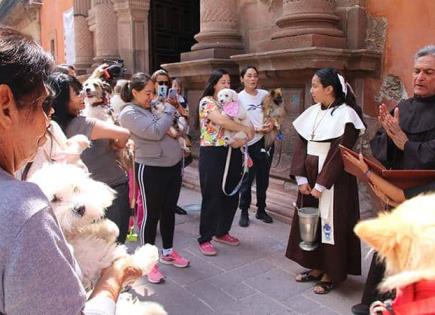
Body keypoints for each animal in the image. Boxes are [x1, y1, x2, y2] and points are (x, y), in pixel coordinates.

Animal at [28, 164, 166, 314]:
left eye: (76, 189)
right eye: (54, 199)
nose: (80, 208)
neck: (69, 236)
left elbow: (97, 230)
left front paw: (109, 229)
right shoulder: (96, 261)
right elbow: (130, 260)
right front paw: (148, 253)